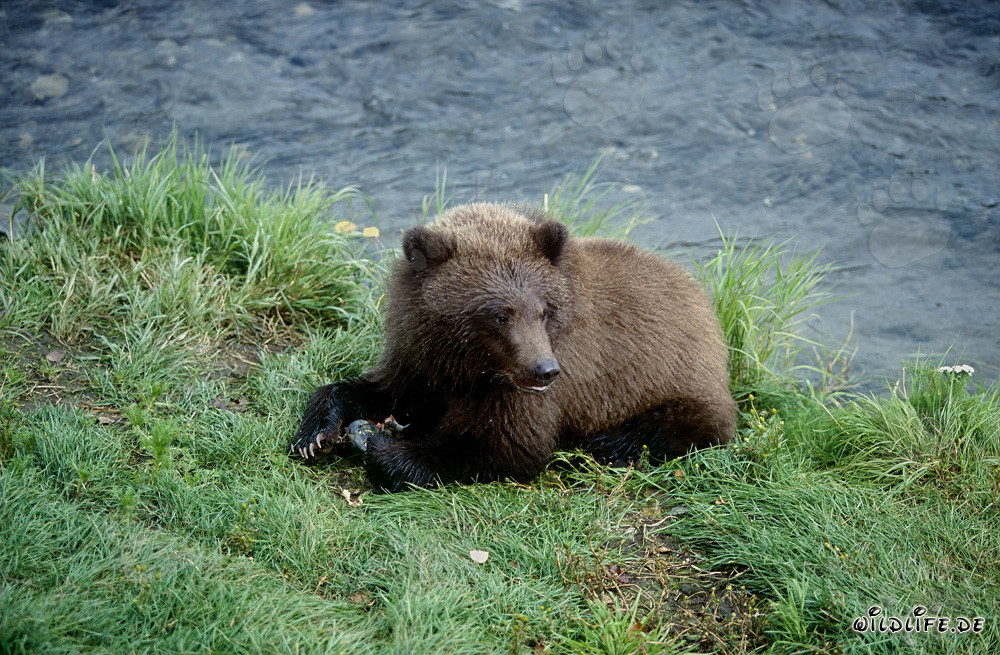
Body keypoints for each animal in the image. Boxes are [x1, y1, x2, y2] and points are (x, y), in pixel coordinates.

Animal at [291, 202, 735, 491]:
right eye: (500, 315)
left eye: (543, 310)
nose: (545, 370)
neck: (468, 363)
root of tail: (704, 303)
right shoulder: (419, 356)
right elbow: (381, 389)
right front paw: (315, 434)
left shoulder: (530, 387)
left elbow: (506, 445)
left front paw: (386, 448)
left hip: (678, 385)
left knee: (672, 427)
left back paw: (606, 443)